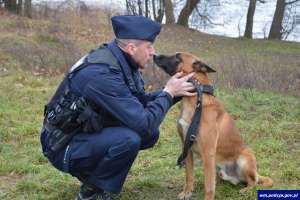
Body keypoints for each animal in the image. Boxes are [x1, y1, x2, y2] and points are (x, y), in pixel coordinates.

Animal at [154, 52, 274, 199]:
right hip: (221, 170)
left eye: (178, 57)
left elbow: (209, 186)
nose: (155, 55)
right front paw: (187, 192)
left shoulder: (208, 152)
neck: (195, 98)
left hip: (244, 159)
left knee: (253, 181)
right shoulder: (186, 148)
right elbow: (189, 175)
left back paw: (246, 190)